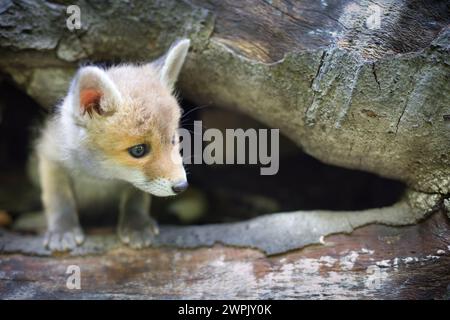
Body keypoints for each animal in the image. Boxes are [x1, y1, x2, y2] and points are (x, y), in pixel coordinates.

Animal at [35, 38, 190, 251]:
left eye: (173, 140)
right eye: (138, 150)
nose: (182, 186)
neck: (99, 179)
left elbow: (136, 196)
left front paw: (136, 225)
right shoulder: (50, 156)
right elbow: (58, 197)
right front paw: (62, 229)